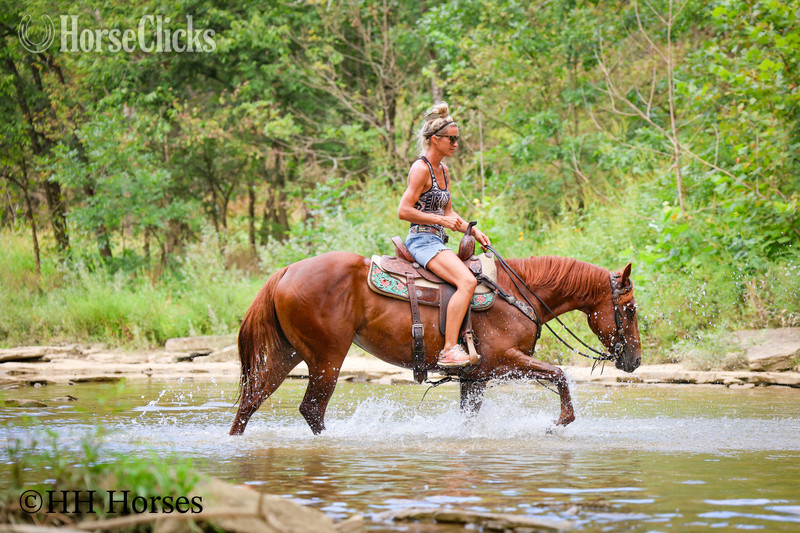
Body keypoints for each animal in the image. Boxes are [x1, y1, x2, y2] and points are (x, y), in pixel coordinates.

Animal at [229, 251, 642, 436]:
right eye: (631, 309)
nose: (635, 360)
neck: (517, 292)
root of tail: (285, 272)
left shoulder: (476, 377)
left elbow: (469, 417)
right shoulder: (504, 360)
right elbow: (559, 374)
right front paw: (560, 422)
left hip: (287, 354)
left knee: (251, 401)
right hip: (327, 357)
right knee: (312, 409)